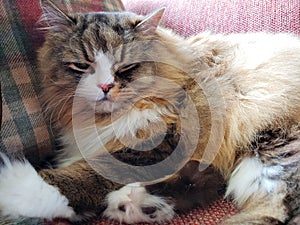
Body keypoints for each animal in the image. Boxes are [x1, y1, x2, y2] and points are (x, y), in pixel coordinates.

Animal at [0, 0, 300, 224]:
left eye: (126, 67)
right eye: (82, 65)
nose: (105, 86)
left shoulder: (157, 144)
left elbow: (85, 174)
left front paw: (16, 187)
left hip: (275, 150)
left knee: (278, 211)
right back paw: (136, 205)